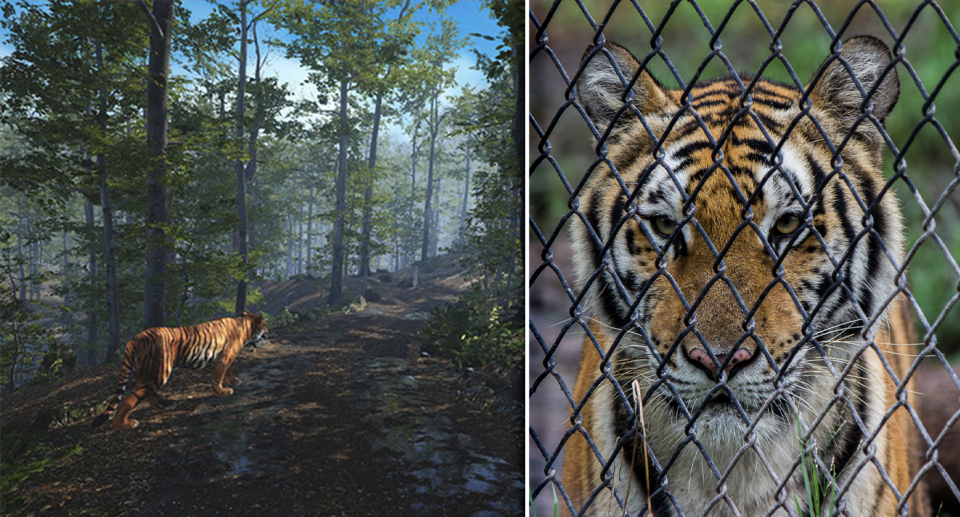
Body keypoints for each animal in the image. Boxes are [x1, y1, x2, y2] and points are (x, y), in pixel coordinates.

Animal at [91, 312, 268, 430]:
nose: (268, 332)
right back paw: (123, 424)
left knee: (145, 394)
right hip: (158, 371)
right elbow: (218, 375)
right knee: (132, 397)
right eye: (265, 325)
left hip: (147, 372)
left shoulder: (225, 356)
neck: (245, 325)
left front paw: (233, 382)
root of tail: (134, 339)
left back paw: (165, 406)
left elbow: (228, 370)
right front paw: (222, 392)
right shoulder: (225, 357)